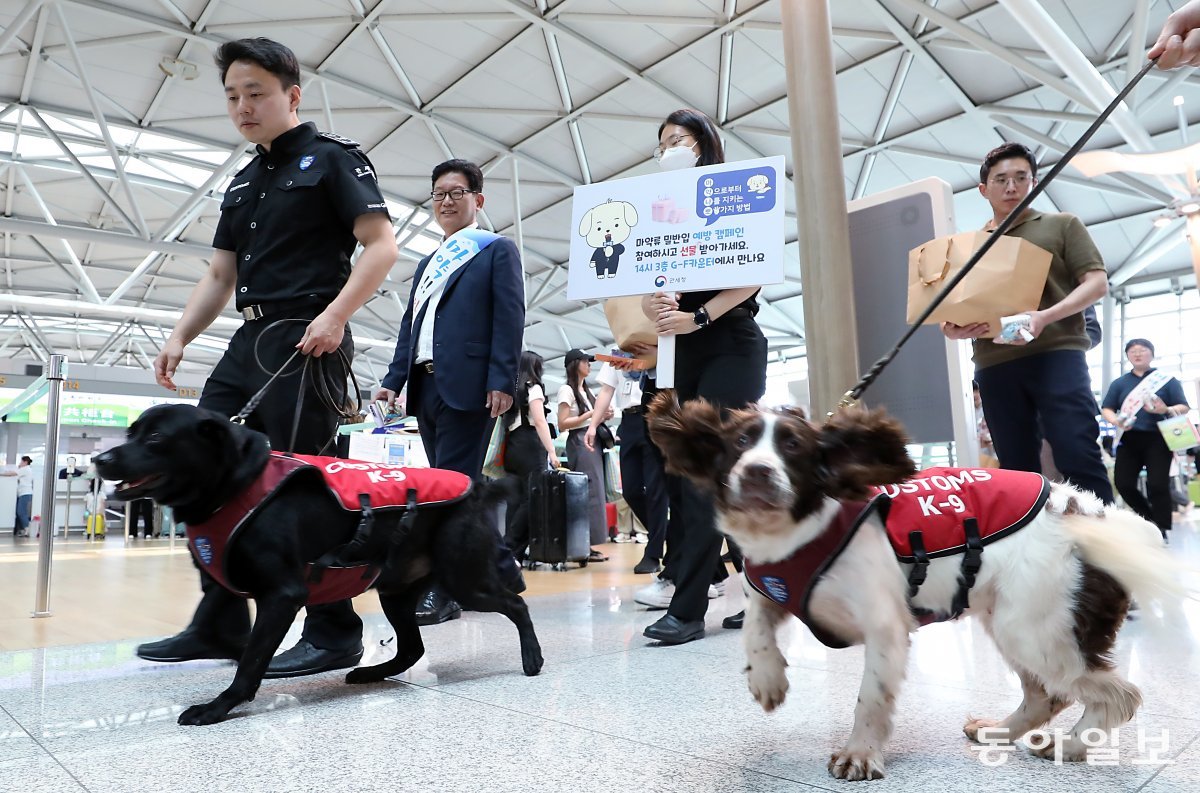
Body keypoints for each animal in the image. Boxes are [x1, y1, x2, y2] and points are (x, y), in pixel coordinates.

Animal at [93, 403, 544, 724]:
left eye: (155, 437)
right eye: (131, 433)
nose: (100, 459)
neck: (233, 484)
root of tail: (475, 490)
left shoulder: (281, 596)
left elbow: (251, 661)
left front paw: (219, 707)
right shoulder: (227, 575)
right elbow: (222, 619)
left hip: (465, 577)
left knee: (517, 605)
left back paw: (532, 658)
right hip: (395, 591)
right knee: (412, 647)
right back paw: (373, 672)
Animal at [648, 391, 1180, 777]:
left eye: (793, 447)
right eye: (739, 443)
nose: (758, 473)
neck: (795, 532)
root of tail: (1102, 519)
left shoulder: (885, 625)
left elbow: (870, 698)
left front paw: (859, 753)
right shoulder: (776, 587)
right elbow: (756, 624)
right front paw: (767, 679)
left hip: (1035, 628)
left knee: (1114, 695)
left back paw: (1068, 746)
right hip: (1009, 620)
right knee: (1045, 694)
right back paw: (1000, 731)